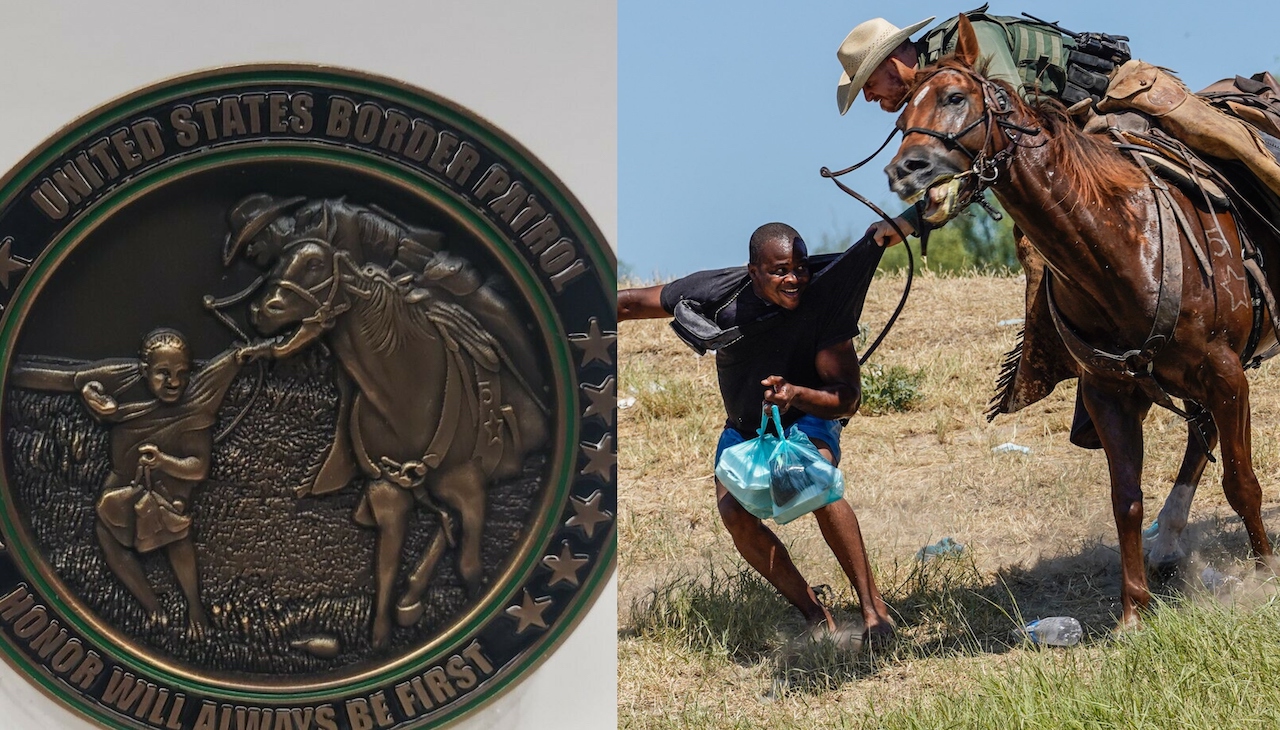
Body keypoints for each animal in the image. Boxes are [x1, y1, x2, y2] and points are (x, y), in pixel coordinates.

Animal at [890, 19, 1280, 627]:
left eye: (955, 97)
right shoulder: (1109, 391)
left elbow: (1242, 483)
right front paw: (1133, 612)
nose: (904, 170)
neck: (1121, 242)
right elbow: (1126, 499)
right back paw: (1168, 544)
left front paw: (1264, 577)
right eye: (901, 112)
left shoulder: (1225, 373)